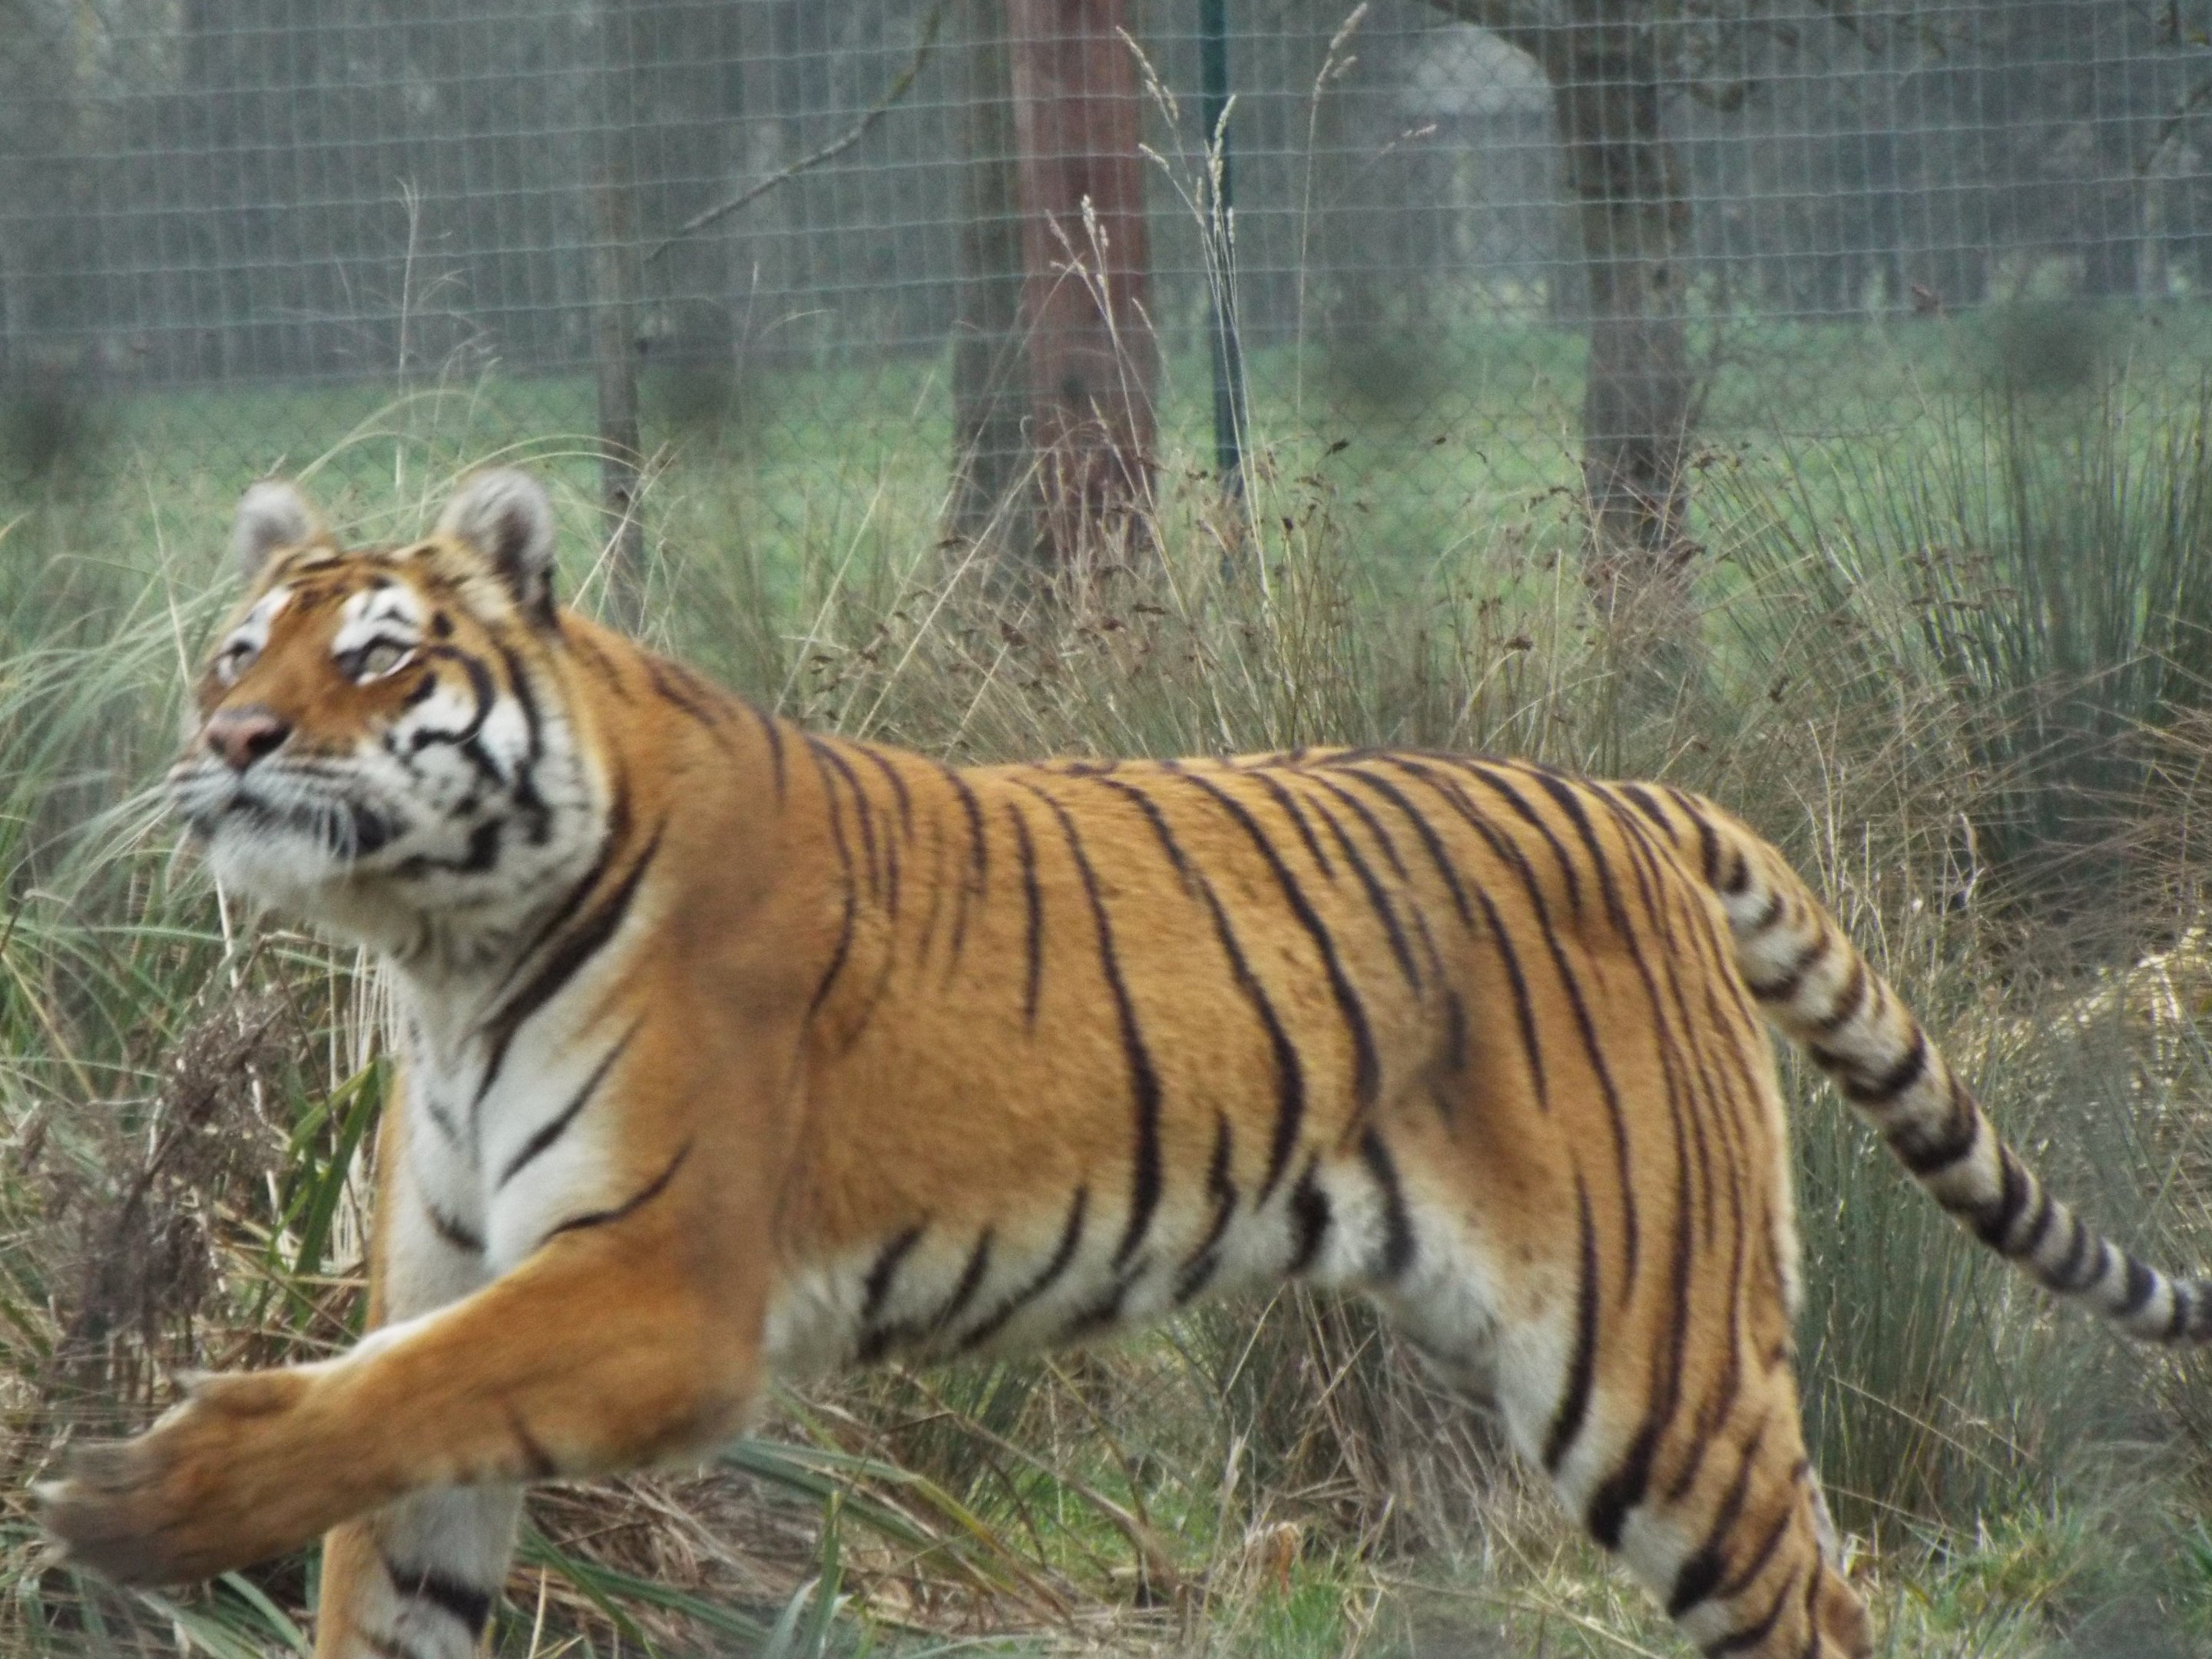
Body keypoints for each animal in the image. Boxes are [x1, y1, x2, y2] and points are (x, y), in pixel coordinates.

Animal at [35, 467, 2212, 1658]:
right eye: (241, 649)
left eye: (382, 658)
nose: (229, 745)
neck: (445, 948)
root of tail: (1636, 795)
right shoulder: (458, 1281)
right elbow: (387, 1479)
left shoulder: (663, 1290)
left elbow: (370, 1406)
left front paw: (134, 1495)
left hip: (1658, 1359)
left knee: (1816, 1599)